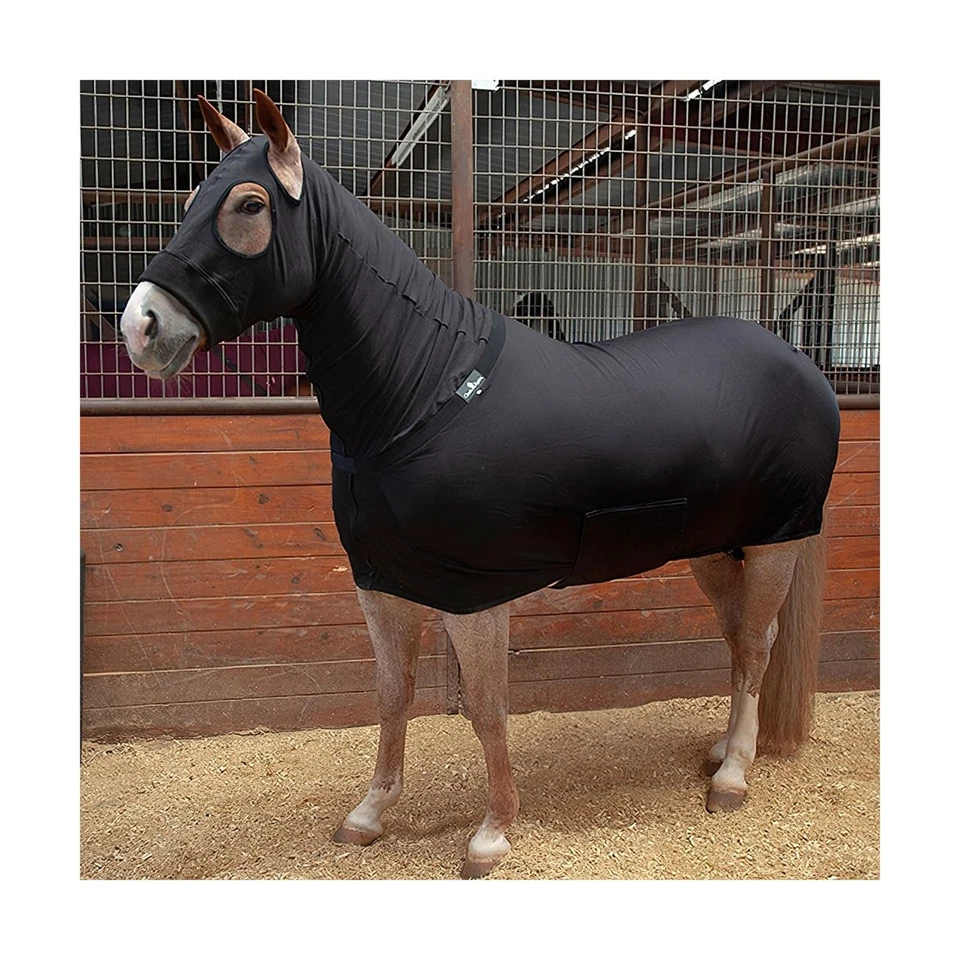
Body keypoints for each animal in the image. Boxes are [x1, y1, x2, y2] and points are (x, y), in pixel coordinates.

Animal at [119, 89, 841, 879]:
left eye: (249, 204)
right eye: (193, 195)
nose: (141, 327)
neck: (422, 397)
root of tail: (802, 366)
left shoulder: (475, 595)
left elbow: (490, 712)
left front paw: (492, 834)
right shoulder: (383, 586)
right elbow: (391, 696)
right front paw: (369, 814)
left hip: (775, 542)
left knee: (757, 645)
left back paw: (733, 777)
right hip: (714, 548)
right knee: (741, 636)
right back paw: (720, 751)